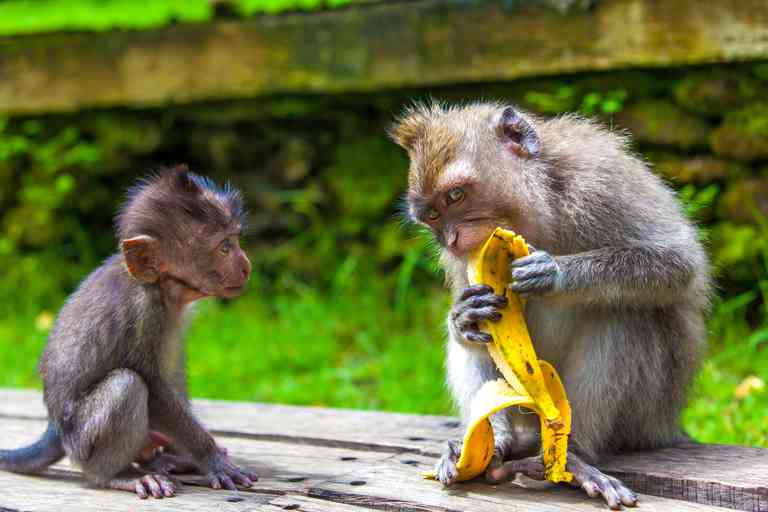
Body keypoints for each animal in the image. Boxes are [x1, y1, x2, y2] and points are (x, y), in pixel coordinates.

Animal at [0, 166, 257, 499]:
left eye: (236, 239)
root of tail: (55, 429)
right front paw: (210, 458)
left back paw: (153, 459)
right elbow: (156, 390)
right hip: (83, 441)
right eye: (225, 247)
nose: (247, 266)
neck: (162, 288)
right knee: (128, 385)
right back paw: (116, 475)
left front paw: (180, 453)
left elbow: (174, 374)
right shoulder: (143, 311)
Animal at [390, 102, 710, 510]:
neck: (537, 214)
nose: (453, 239)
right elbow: (470, 323)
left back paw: (573, 456)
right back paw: (495, 443)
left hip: (647, 417)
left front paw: (554, 273)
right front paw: (462, 316)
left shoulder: (600, 181)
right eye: (433, 216)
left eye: (456, 195)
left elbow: (678, 264)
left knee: (624, 314)